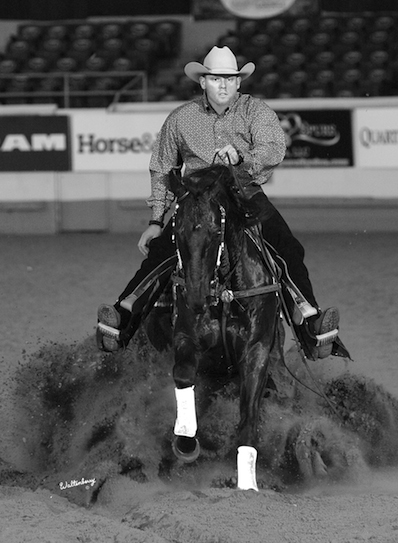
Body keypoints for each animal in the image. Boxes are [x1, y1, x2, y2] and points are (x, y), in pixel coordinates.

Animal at [166, 164, 284, 490]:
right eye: (176, 230)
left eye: (215, 231)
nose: (195, 297)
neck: (225, 293)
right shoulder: (185, 336)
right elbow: (183, 375)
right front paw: (185, 440)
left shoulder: (257, 351)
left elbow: (248, 414)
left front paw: (247, 484)